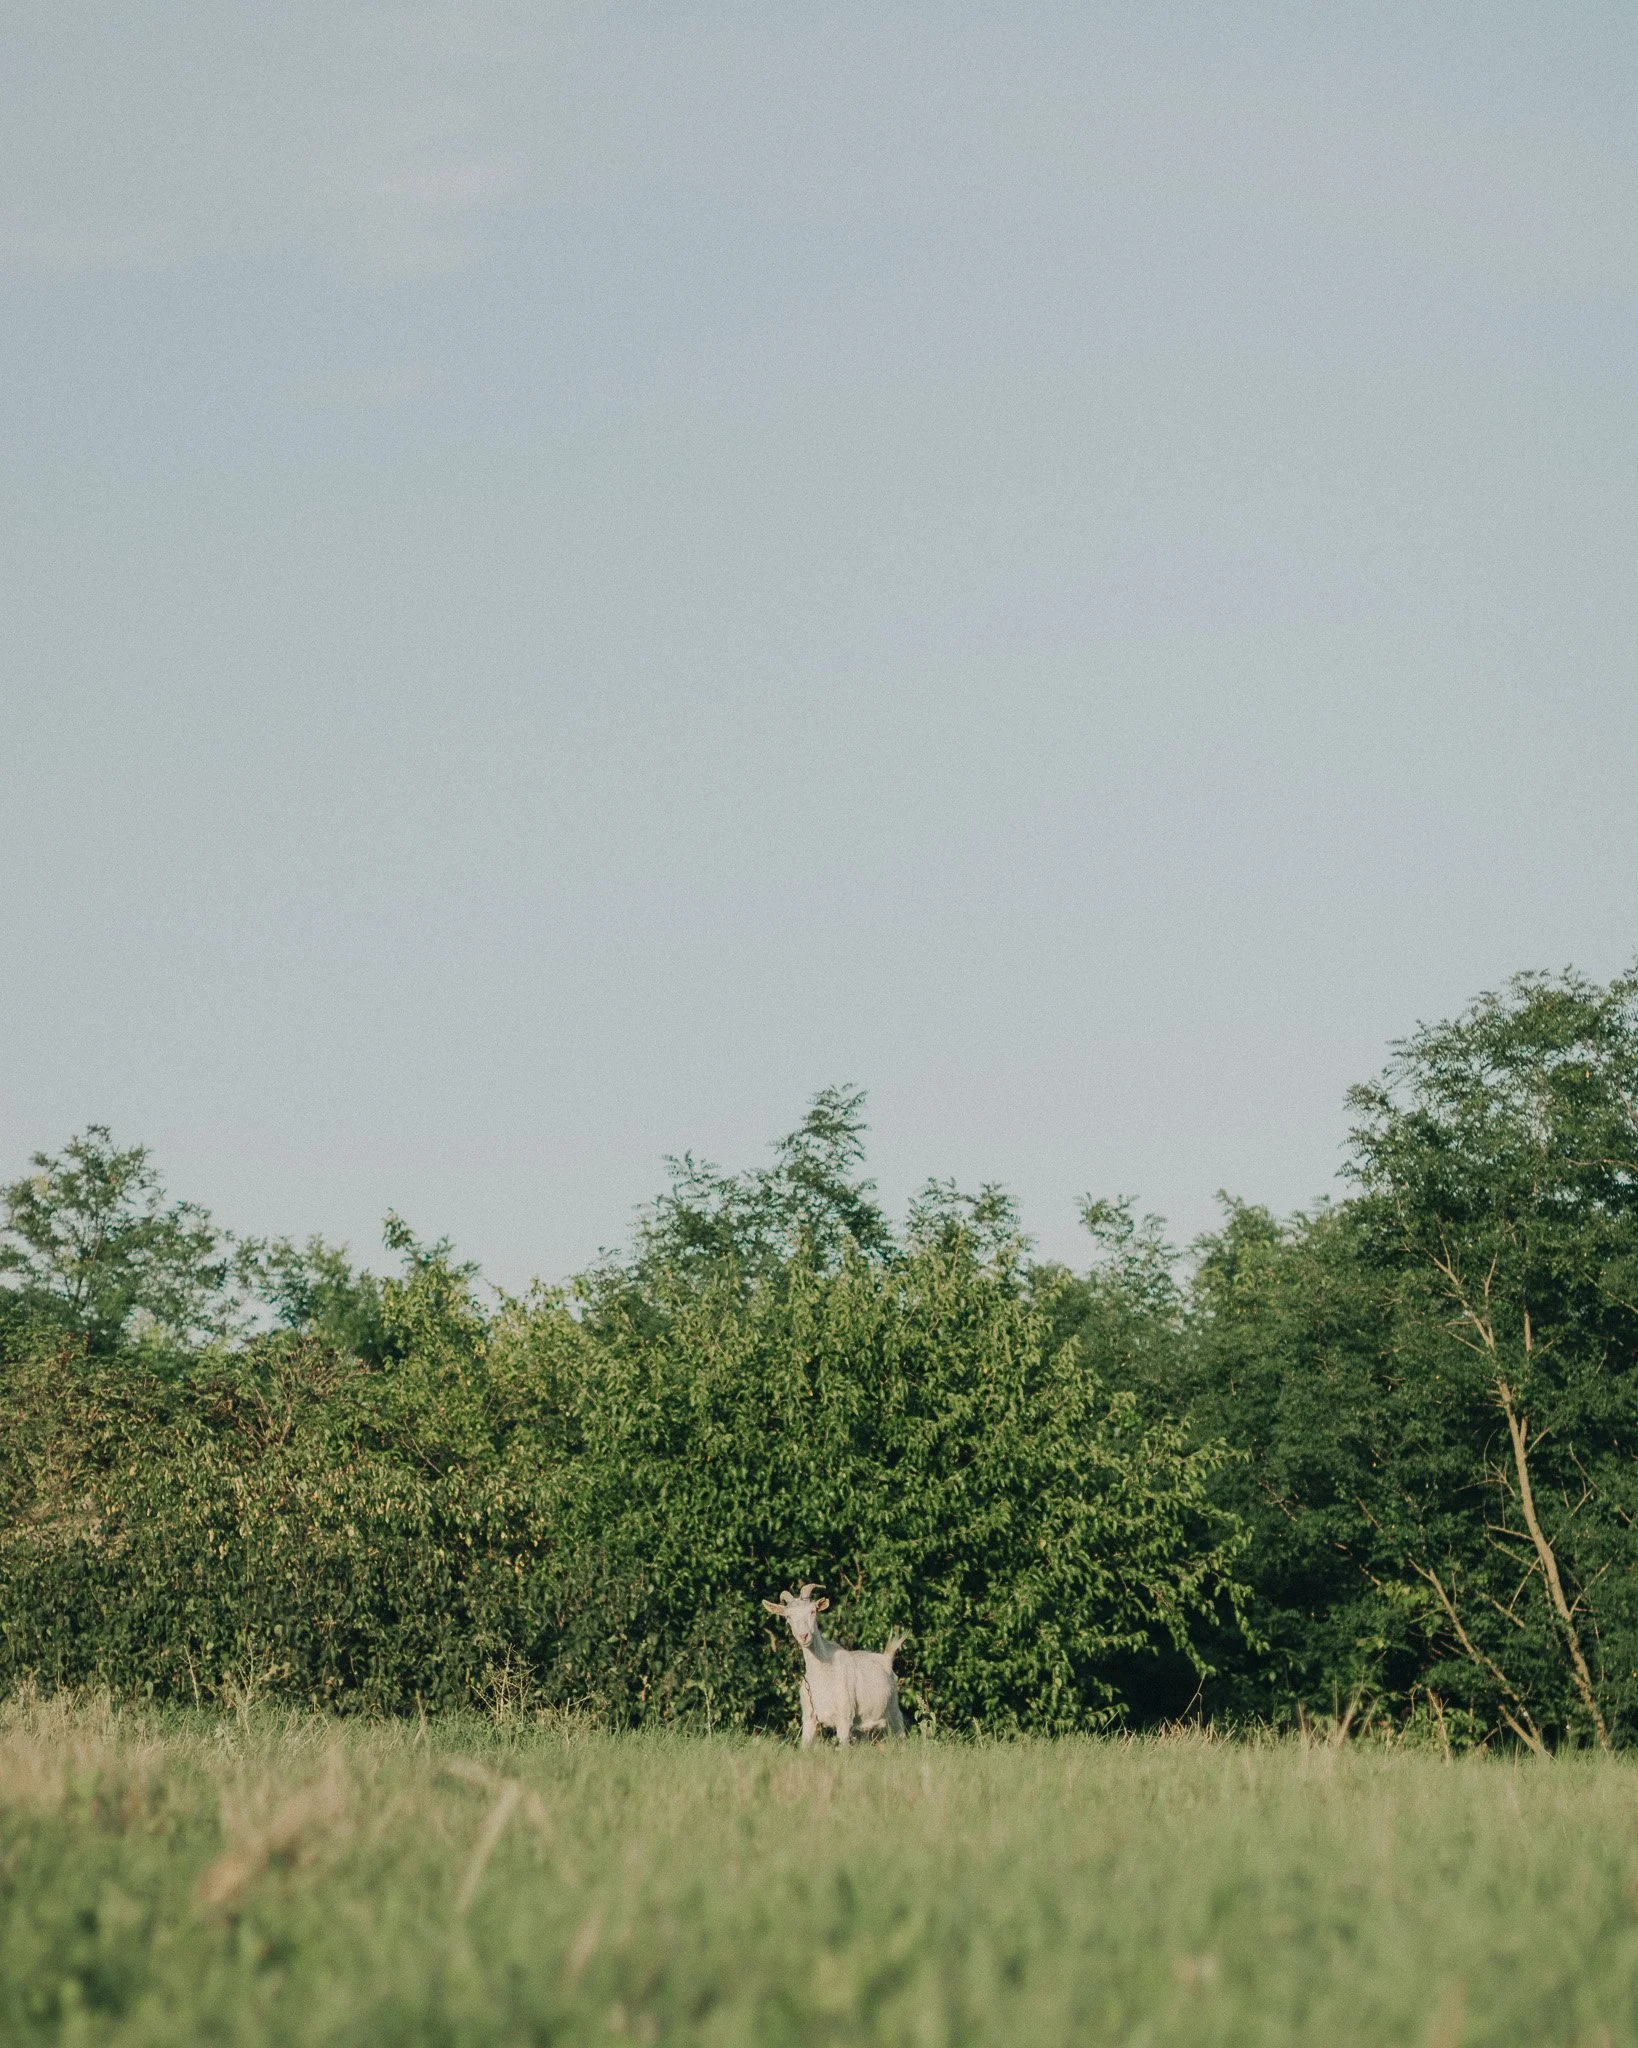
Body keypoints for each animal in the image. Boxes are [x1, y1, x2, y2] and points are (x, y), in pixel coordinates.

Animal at [762, 1584, 906, 1746]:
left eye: (813, 1611)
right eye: (788, 1616)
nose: (804, 1636)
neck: (823, 1673)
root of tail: (886, 1658)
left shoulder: (844, 1719)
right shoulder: (809, 1718)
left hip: (893, 1711)